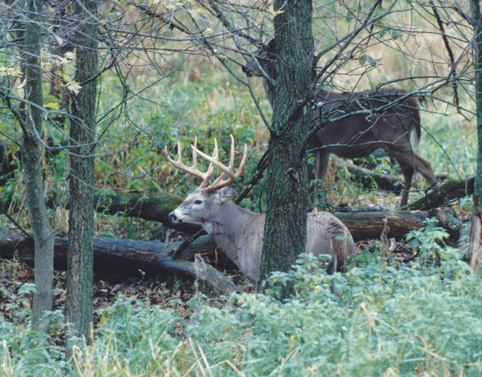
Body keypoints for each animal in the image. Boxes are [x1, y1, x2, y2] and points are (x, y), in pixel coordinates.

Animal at [166, 137, 354, 286]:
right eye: (188, 196)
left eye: (198, 201)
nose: (172, 214)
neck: (239, 233)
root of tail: (334, 229)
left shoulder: (255, 273)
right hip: (347, 263)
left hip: (312, 266)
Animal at [241, 40, 436, 206]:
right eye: (251, 54)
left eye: (262, 56)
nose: (245, 68)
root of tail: (413, 102)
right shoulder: (324, 148)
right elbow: (319, 181)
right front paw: (319, 208)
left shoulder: (310, 142)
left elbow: (311, 182)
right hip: (397, 139)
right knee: (409, 168)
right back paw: (404, 206)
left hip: (393, 137)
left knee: (424, 165)